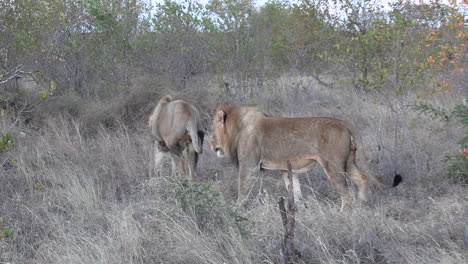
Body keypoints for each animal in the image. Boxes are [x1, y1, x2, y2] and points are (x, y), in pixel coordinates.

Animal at [210, 104, 400, 209]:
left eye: (212, 129)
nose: (210, 144)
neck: (238, 126)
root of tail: (345, 123)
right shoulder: (288, 169)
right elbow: (295, 191)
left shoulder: (249, 165)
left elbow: (242, 189)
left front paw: (236, 208)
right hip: (349, 162)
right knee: (362, 179)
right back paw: (363, 205)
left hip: (333, 165)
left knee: (346, 195)